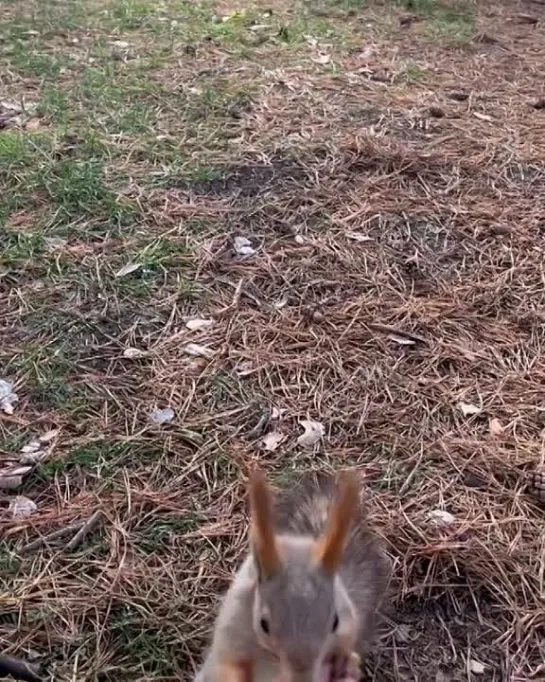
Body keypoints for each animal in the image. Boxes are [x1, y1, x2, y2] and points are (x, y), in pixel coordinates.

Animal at [196, 468, 392, 680]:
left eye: (335, 621)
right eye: (264, 624)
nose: (302, 675)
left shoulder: (347, 619)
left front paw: (347, 668)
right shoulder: (232, 626)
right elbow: (227, 667)